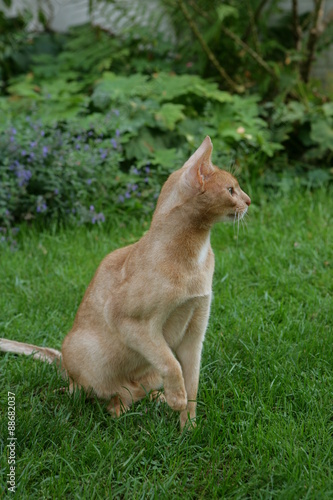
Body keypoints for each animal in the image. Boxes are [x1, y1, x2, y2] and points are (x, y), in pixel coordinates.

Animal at [0, 137, 249, 430]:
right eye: (231, 190)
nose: (248, 200)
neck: (194, 255)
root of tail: (64, 364)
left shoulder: (195, 331)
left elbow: (193, 385)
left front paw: (188, 428)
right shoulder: (129, 322)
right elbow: (171, 363)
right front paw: (177, 400)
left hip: (145, 371)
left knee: (139, 392)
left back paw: (155, 399)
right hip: (86, 354)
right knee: (95, 394)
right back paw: (114, 404)